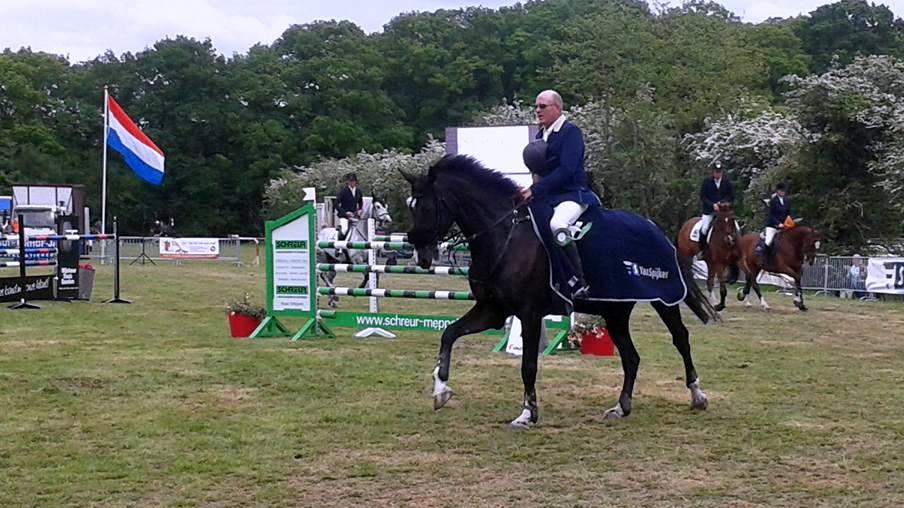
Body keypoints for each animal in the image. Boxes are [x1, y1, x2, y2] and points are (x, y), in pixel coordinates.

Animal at [402, 156, 720, 428]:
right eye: (410, 205)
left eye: (426, 206)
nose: (422, 255)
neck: (503, 233)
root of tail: (657, 230)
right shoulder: (492, 310)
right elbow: (449, 334)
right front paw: (440, 390)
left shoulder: (528, 314)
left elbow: (528, 365)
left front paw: (527, 414)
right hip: (615, 311)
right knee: (631, 357)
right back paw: (621, 407)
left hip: (664, 300)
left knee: (681, 339)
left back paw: (698, 396)